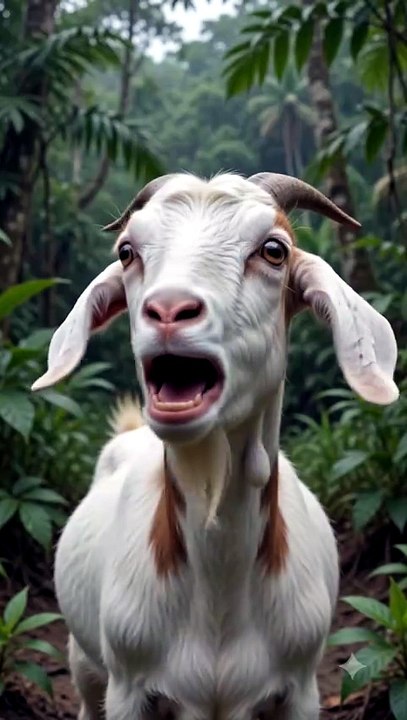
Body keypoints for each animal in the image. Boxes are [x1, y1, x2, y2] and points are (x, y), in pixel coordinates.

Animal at [32, 172, 399, 720]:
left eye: (274, 250)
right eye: (127, 252)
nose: (168, 310)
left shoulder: (302, 687)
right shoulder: (128, 686)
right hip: (85, 663)